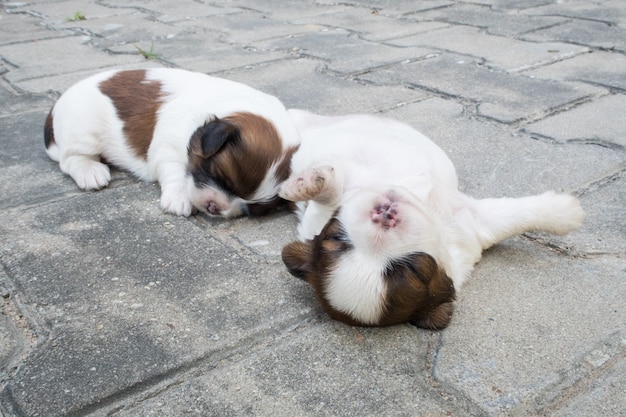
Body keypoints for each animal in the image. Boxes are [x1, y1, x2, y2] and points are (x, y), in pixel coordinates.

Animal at [43, 66, 298, 216]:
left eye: (254, 209)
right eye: (221, 176)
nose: (216, 208)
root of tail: (55, 108)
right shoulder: (168, 146)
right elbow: (175, 171)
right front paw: (179, 199)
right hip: (83, 129)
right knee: (71, 159)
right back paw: (91, 172)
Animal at [278, 109, 580, 330]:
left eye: (339, 238)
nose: (384, 216)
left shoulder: (473, 223)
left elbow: (520, 215)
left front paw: (567, 212)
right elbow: (331, 190)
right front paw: (303, 185)